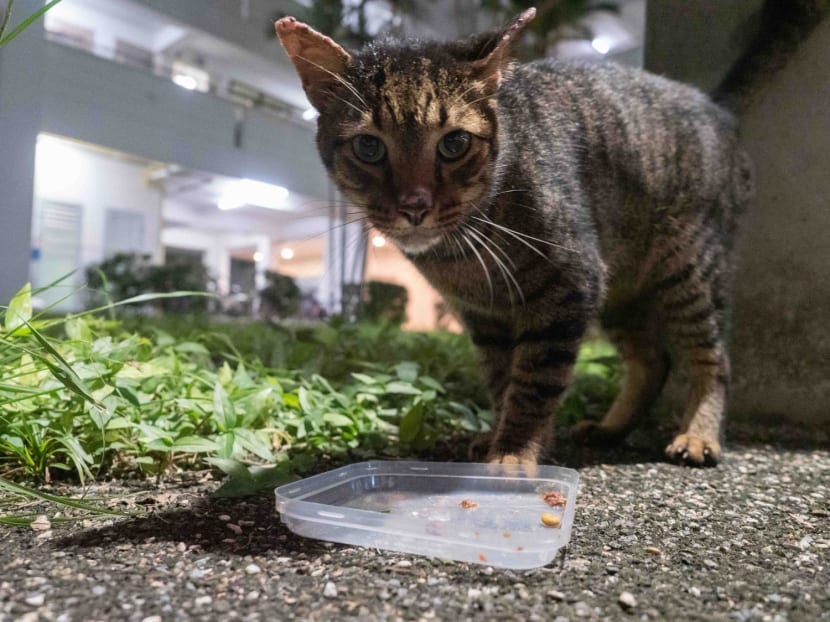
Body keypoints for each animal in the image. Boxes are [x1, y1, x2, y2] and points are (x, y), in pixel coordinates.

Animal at [278, 9, 752, 468]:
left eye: (454, 143)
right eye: (369, 148)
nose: (415, 205)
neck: (460, 256)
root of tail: (715, 106)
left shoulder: (569, 288)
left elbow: (534, 383)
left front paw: (513, 453)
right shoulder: (485, 318)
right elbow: (502, 379)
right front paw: (503, 438)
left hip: (690, 272)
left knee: (714, 358)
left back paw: (699, 435)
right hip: (622, 293)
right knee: (653, 361)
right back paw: (610, 428)